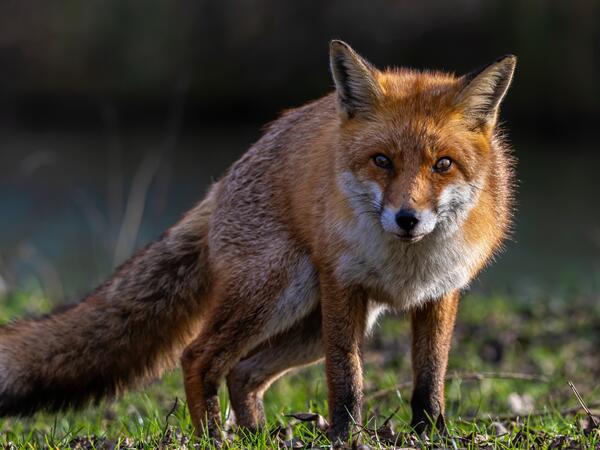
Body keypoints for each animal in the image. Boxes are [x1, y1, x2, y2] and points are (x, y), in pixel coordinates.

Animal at [0, 41, 516, 442]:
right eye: (382, 160)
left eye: (443, 164)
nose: (407, 219)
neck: (405, 264)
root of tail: (223, 181)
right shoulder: (341, 284)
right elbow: (346, 377)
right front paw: (345, 436)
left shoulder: (441, 292)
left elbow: (430, 377)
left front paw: (431, 433)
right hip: (283, 291)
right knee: (200, 357)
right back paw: (213, 437)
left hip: (310, 322)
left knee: (243, 370)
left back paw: (257, 434)